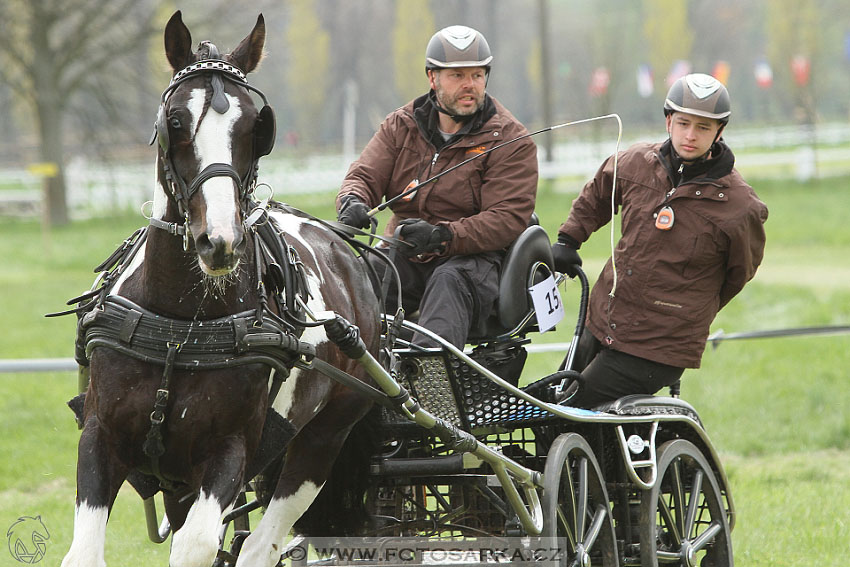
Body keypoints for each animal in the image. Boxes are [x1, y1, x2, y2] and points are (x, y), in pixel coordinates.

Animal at [60, 12, 378, 567]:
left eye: (257, 127)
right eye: (175, 122)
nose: (220, 241)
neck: (180, 327)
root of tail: (345, 250)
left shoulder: (230, 450)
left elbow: (199, 545)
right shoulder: (102, 436)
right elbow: (84, 553)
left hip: (322, 440)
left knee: (261, 544)